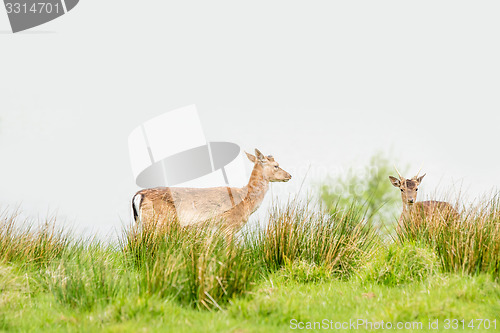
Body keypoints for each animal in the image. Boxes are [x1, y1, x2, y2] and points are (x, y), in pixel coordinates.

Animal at [131, 149, 292, 240]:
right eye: (276, 165)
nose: (289, 175)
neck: (246, 202)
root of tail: (138, 196)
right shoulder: (228, 227)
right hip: (156, 223)